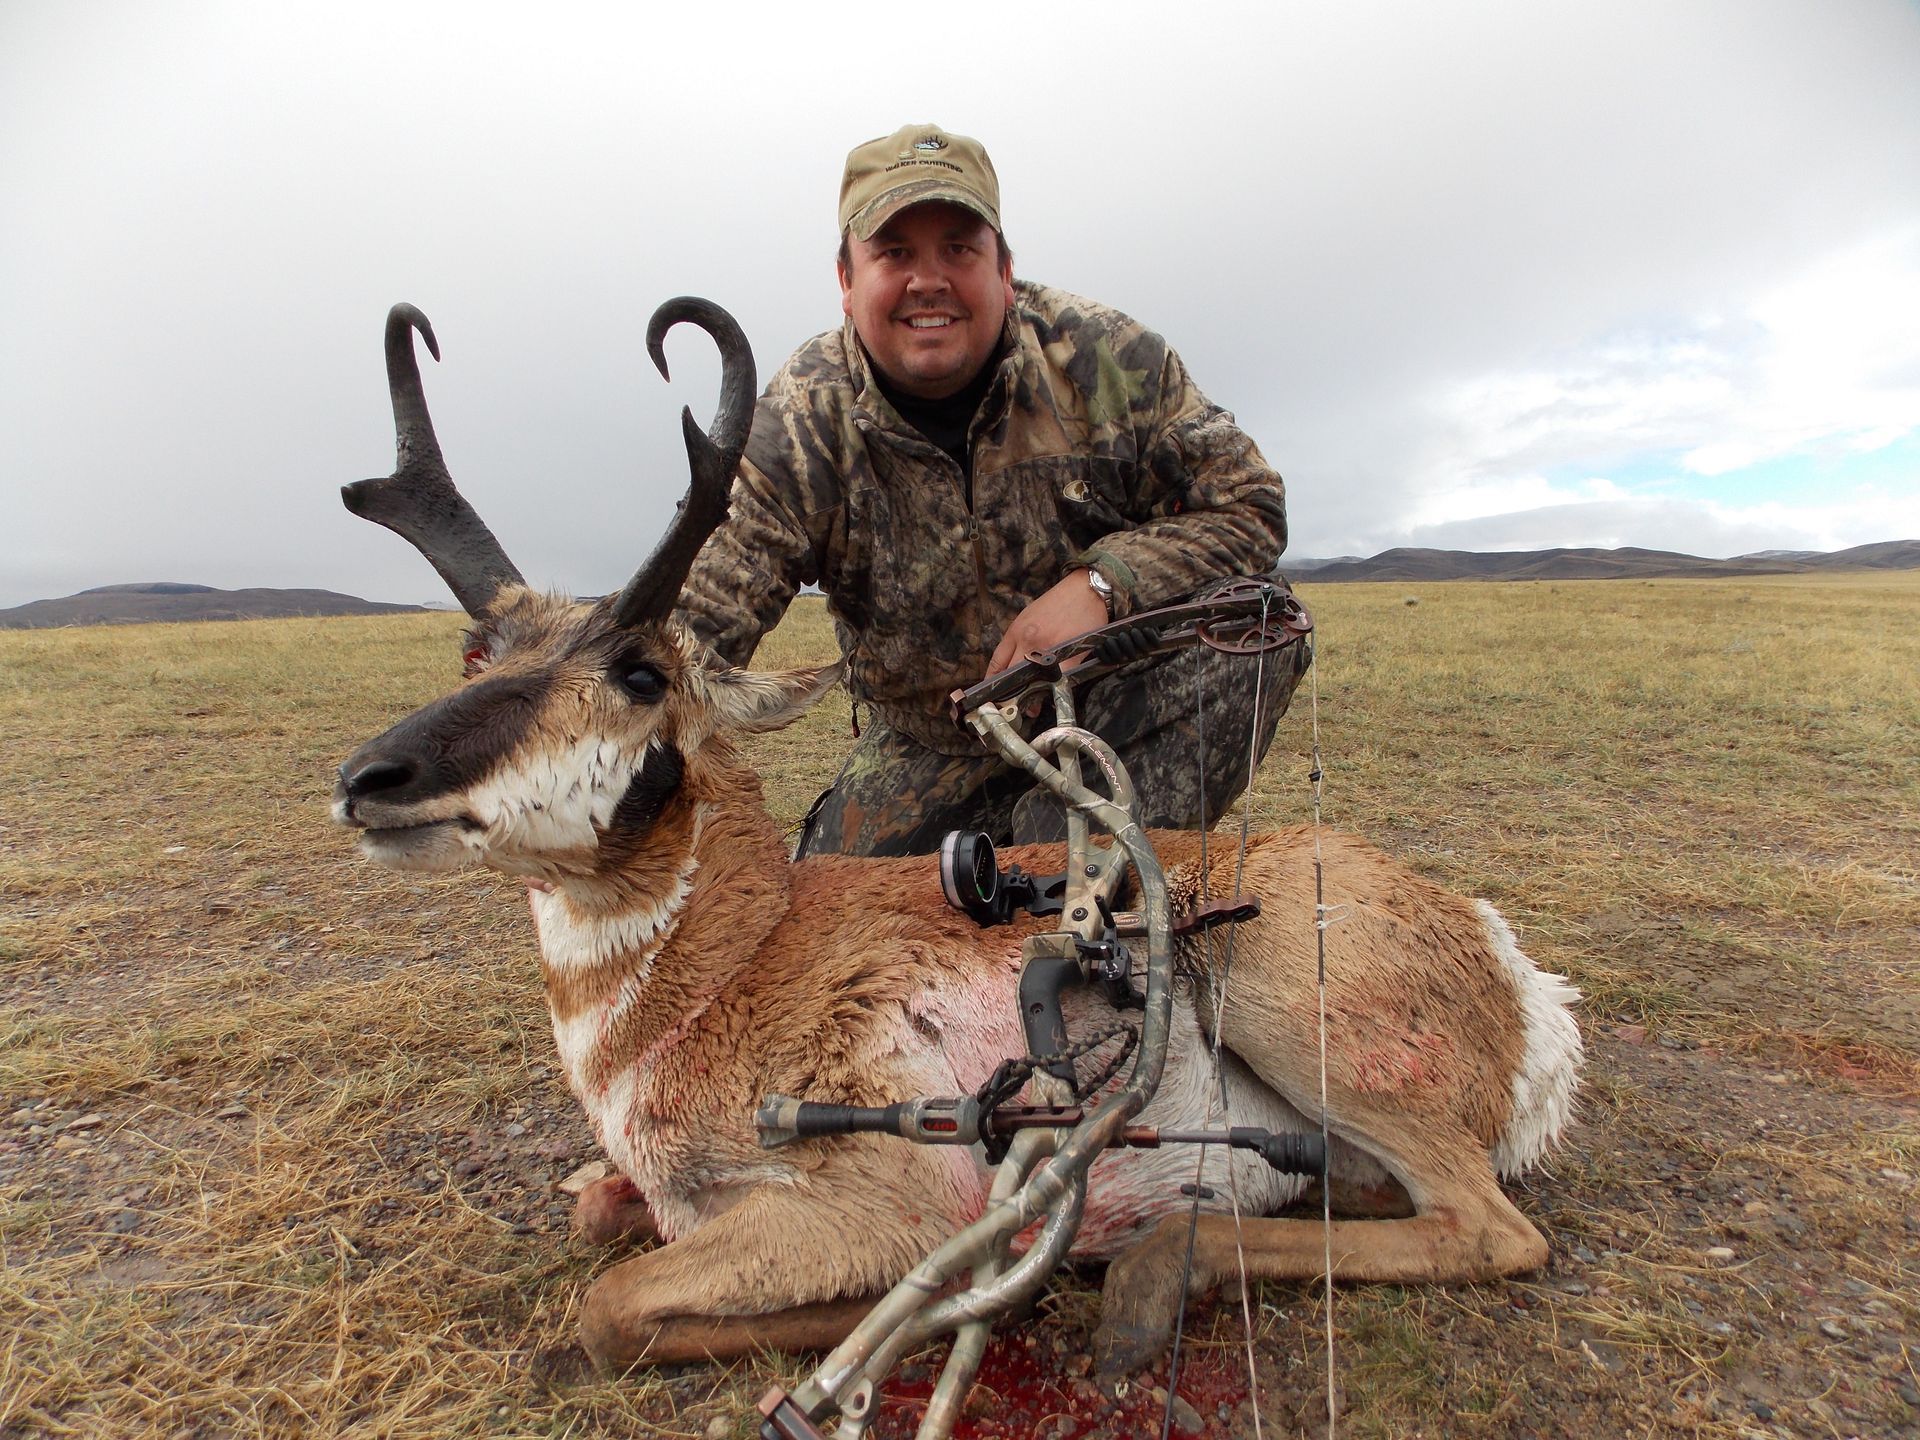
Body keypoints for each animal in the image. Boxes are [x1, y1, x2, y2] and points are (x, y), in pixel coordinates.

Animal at [330, 298, 1583, 1381]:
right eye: (475, 653)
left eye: (641, 673)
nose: (366, 779)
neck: (735, 957)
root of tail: (1505, 960)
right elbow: (595, 1211)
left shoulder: (865, 1201)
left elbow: (610, 1309)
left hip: (1292, 1007)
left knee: (1488, 1228)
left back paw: (1138, 1278)